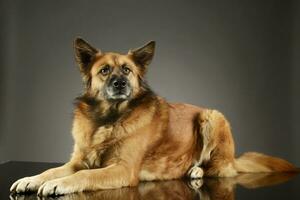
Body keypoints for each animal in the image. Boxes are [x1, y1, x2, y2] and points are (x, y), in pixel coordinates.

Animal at [9, 37, 298, 195]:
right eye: (104, 71)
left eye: (127, 70)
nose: (119, 84)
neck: (108, 119)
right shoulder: (77, 161)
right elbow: (51, 170)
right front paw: (31, 180)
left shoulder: (123, 169)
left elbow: (84, 176)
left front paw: (59, 185)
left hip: (213, 117)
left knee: (217, 168)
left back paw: (196, 170)